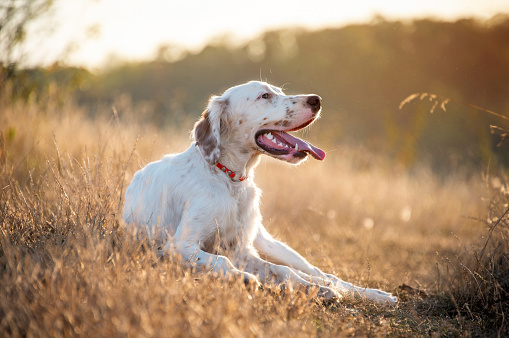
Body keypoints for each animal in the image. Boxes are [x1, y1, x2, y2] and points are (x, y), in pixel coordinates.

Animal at [123, 81, 396, 304]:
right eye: (264, 96)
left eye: (280, 92)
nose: (316, 100)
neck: (230, 180)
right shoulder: (180, 245)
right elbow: (224, 262)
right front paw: (242, 278)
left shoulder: (242, 248)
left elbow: (284, 271)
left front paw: (314, 289)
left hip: (271, 244)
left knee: (321, 273)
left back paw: (375, 294)